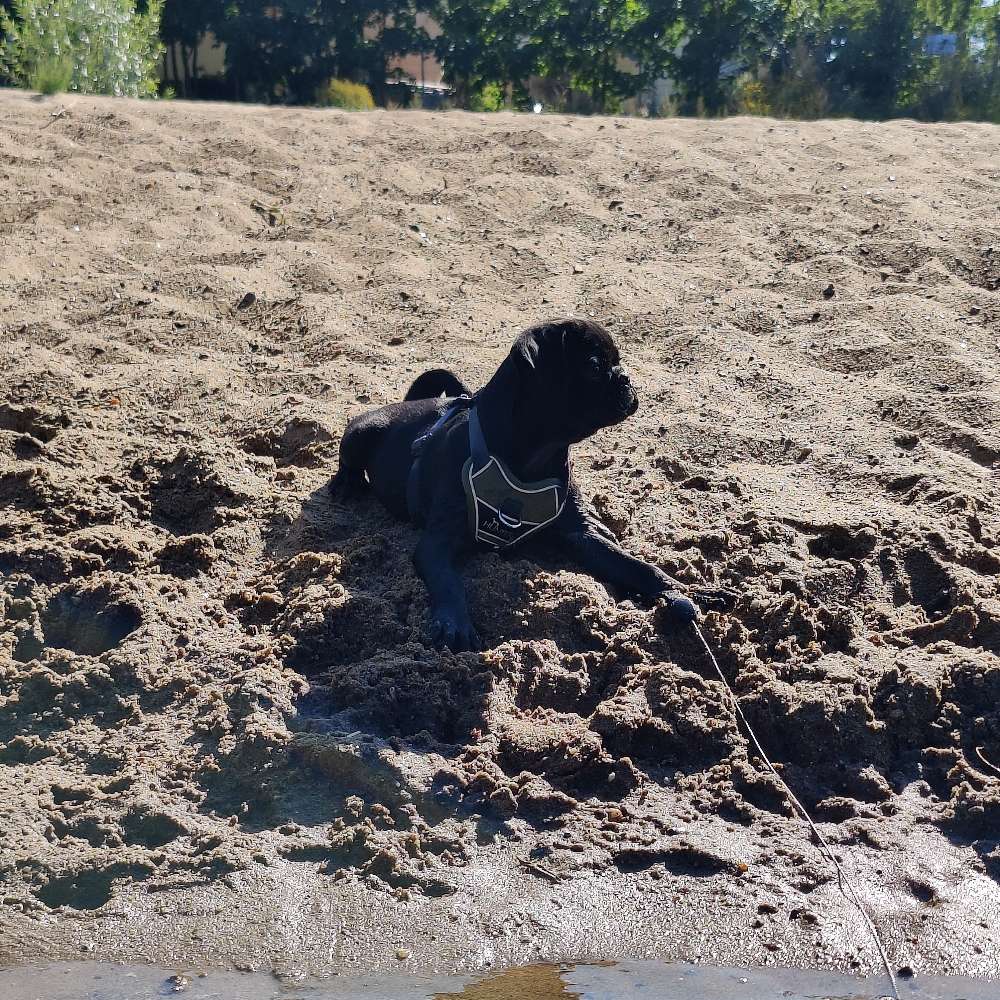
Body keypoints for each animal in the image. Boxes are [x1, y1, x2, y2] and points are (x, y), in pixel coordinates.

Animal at [328, 316, 704, 652]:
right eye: (594, 366)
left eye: (618, 362)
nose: (625, 377)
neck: (534, 457)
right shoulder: (437, 543)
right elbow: (449, 582)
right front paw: (454, 624)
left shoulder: (581, 535)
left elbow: (634, 565)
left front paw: (676, 590)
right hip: (362, 432)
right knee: (348, 460)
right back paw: (346, 484)